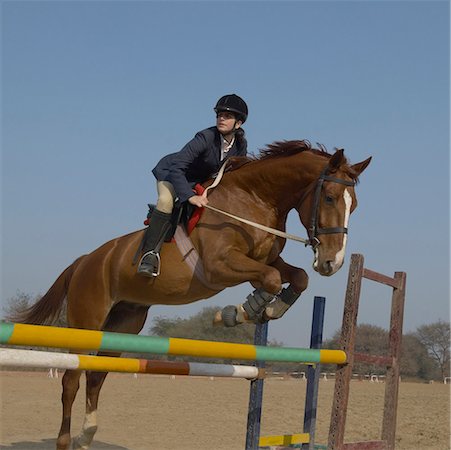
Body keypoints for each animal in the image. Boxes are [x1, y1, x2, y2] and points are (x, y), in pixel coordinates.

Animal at [13, 139, 370, 448]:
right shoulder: (219, 266)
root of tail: (84, 260)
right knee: (71, 380)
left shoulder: (267, 259)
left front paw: (267, 308)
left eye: (354, 205)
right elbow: (269, 279)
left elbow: (297, 277)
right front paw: (238, 312)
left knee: (97, 375)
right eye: (329, 197)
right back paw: (65, 440)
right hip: (87, 320)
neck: (254, 200)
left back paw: (87, 436)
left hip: (124, 324)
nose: (332, 263)